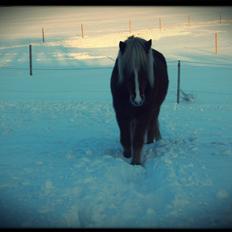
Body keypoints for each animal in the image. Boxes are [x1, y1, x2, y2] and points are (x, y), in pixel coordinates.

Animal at [110, 35, 169, 165]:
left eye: (145, 71)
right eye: (127, 72)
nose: (138, 100)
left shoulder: (144, 113)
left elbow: (138, 139)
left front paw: (136, 162)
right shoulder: (121, 113)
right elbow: (125, 137)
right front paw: (126, 155)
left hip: (155, 108)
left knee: (152, 124)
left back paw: (151, 141)